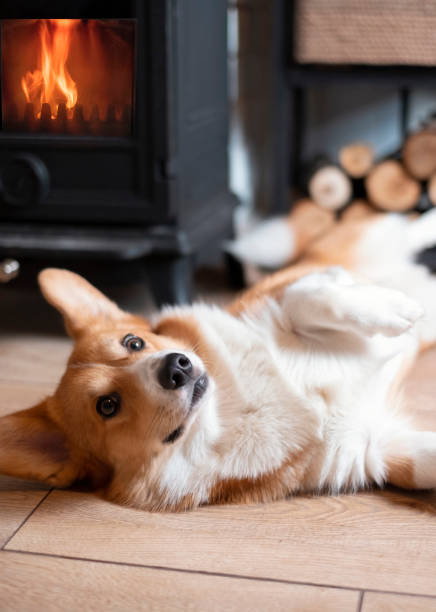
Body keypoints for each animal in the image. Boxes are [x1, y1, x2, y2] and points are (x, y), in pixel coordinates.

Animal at [0, 202, 436, 512]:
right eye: (107, 405)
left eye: (133, 342)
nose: (176, 366)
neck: (233, 406)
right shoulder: (374, 448)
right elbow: (420, 463)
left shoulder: (294, 291)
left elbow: (310, 298)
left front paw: (394, 309)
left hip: (369, 241)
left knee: (415, 225)